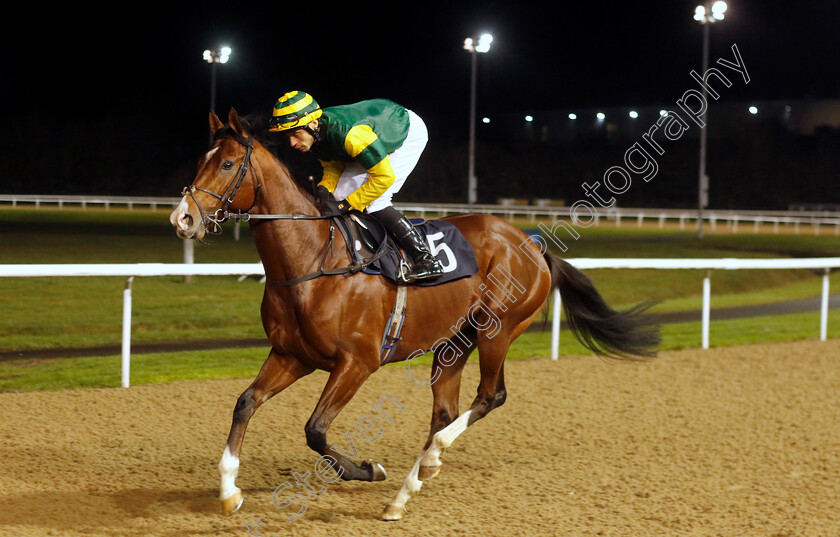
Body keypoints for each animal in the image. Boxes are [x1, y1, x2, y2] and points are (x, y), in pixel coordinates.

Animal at [169, 108, 656, 520]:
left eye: (228, 165)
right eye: (200, 160)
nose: (182, 218)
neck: (313, 260)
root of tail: (532, 245)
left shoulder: (357, 362)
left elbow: (315, 429)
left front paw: (368, 469)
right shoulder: (293, 355)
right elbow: (245, 402)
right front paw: (229, 491)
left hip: (497, 329)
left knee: (490, 396)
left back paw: (419, 471)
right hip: (453, 341)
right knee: (445, 409)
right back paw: (413, 483)